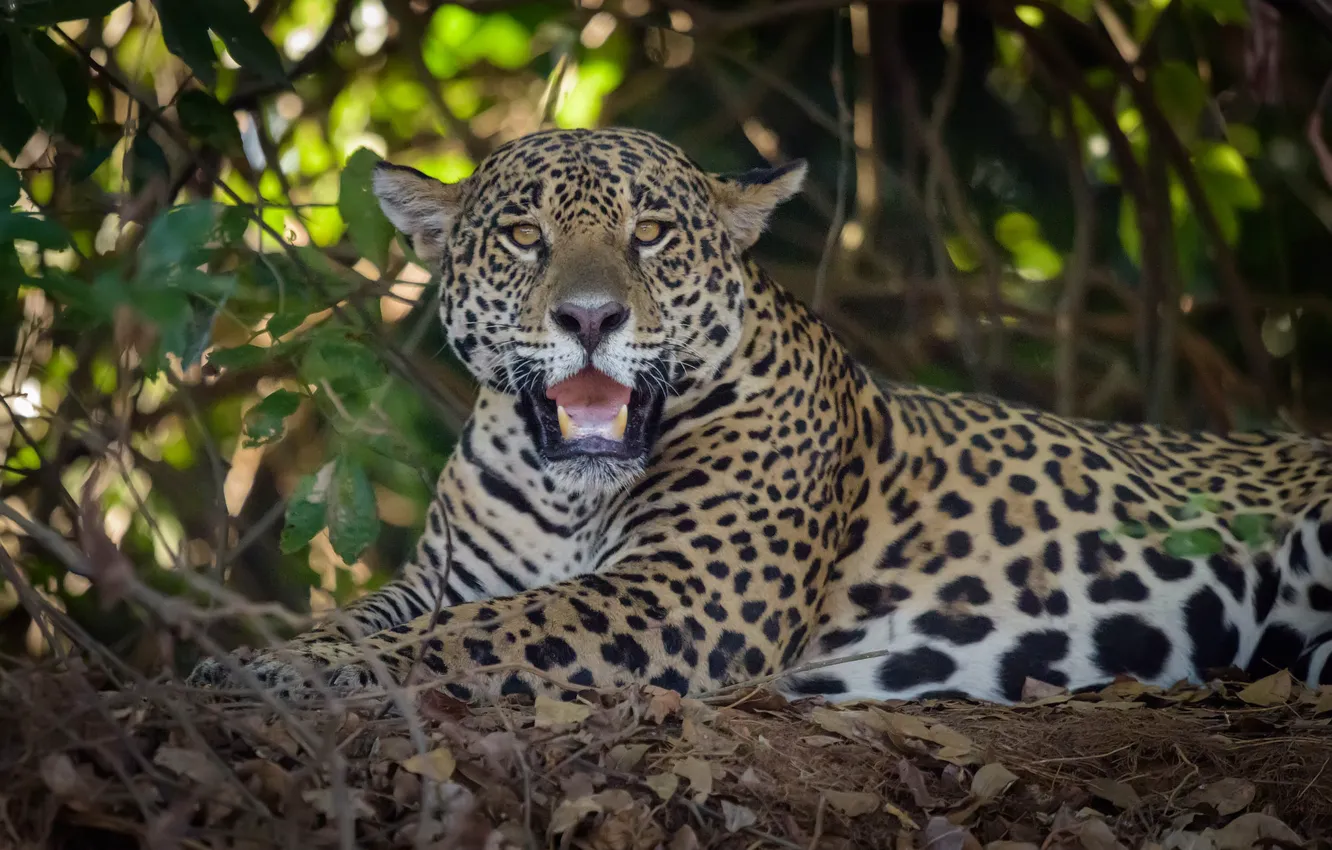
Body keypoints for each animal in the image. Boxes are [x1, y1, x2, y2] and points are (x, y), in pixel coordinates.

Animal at [189, 126, 1332, 706]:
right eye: (522, 235)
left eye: (651, 232)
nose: (591, 317)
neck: (567, 491)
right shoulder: (444, 574)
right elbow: (375, 615)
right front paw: (262, 658)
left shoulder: (685, 595)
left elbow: (486, 633)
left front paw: (309, 674)